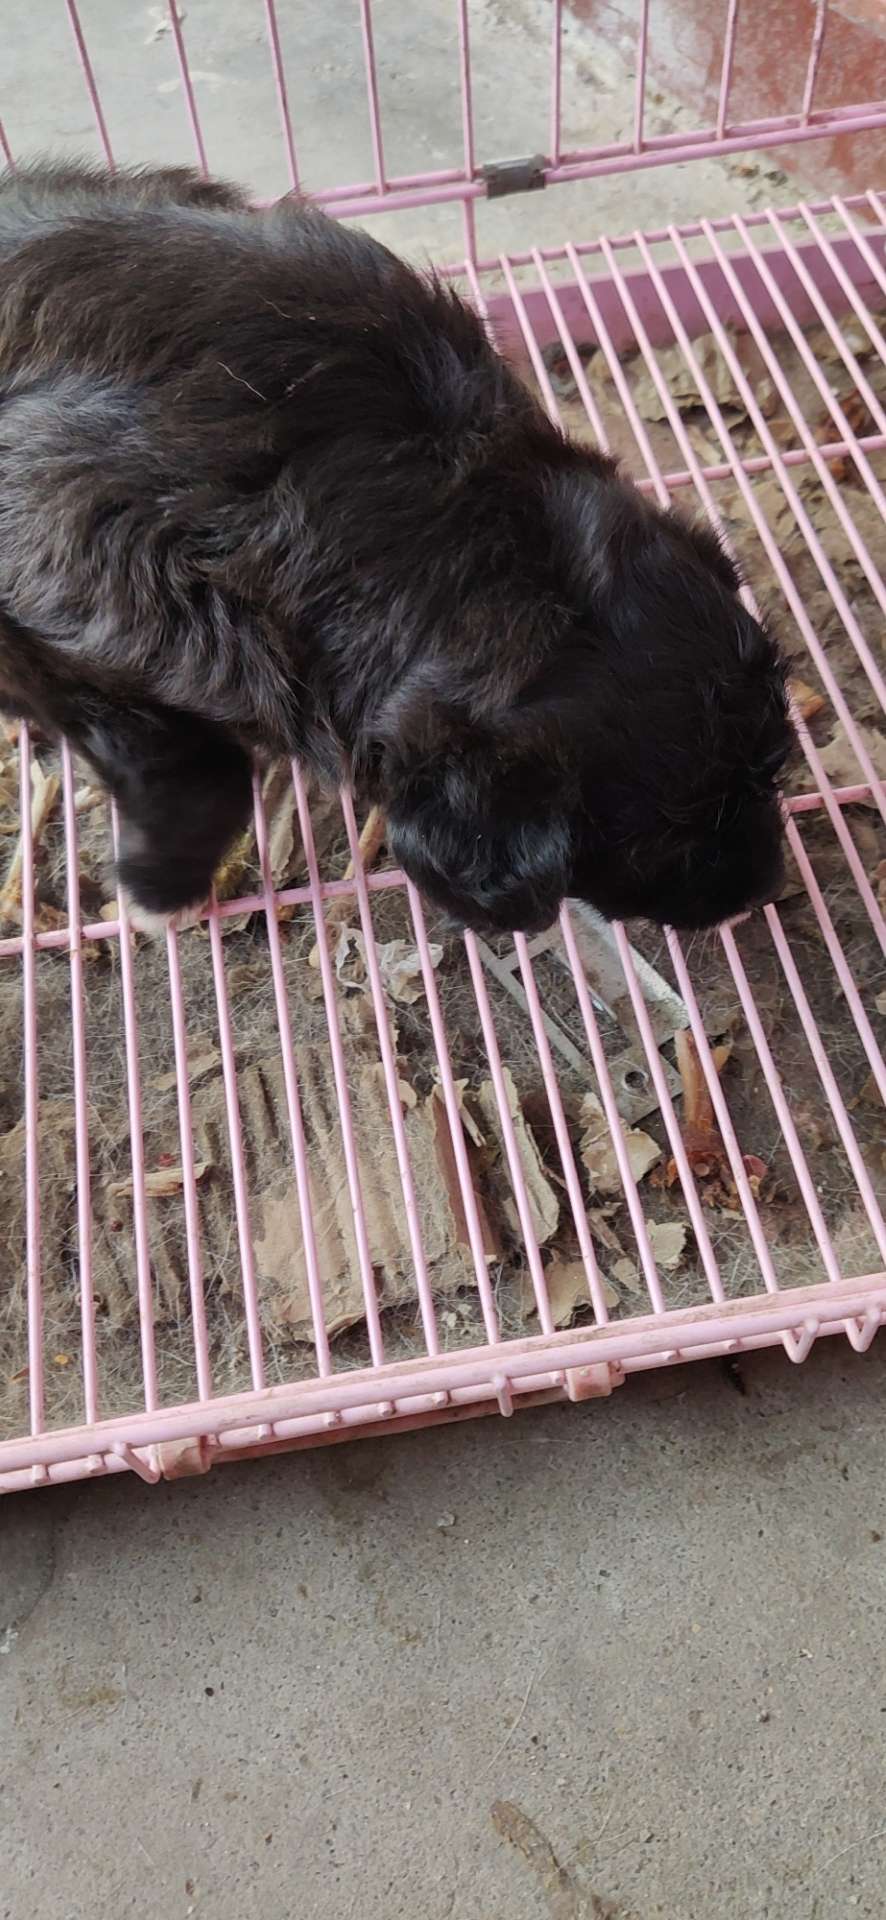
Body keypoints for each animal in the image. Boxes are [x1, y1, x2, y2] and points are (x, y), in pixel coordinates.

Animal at [0, 162, 792, 934]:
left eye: (773, 766)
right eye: (666, 844)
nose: (764, 889)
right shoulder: (80, 590)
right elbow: (181, 757)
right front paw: (162, 889)